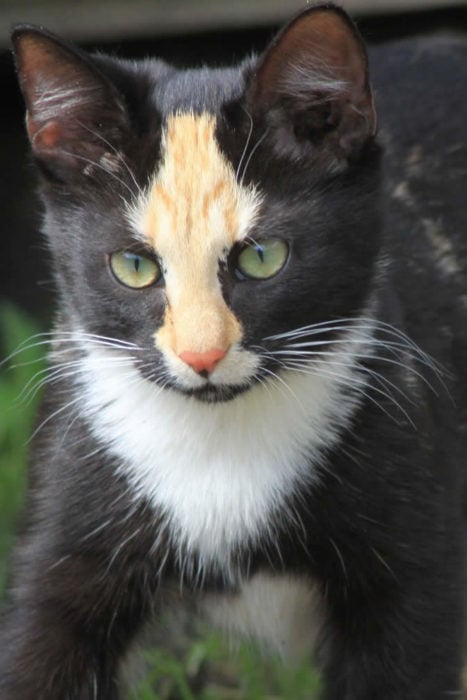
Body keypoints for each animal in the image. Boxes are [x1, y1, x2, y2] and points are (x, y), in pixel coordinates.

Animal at [0, 1, 467, 696]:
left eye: (263, 257)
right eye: (134, 266)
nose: (203, 357)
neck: (220, 446)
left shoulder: (414, 561)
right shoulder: (65, 528)